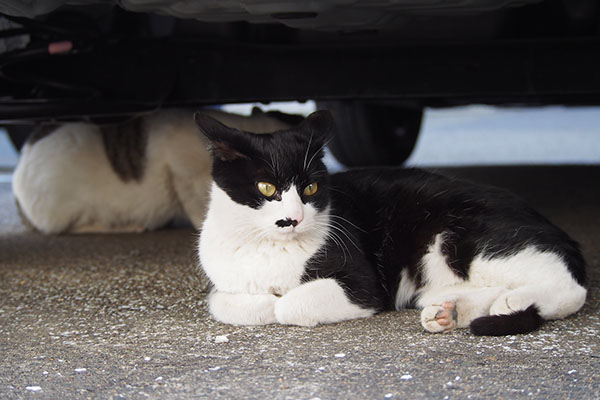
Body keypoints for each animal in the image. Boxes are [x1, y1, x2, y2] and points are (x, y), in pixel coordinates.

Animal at [196, 108, 584, 334]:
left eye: (310, 188)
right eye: (267, 187)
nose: (293, 219)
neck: (268, 249)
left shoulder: (364, 285)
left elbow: (287, 304)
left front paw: (276, 300)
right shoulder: (224, 282)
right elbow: (221, 302)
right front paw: (260, 300)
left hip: (464, 241)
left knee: (568, 286)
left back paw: (510, 304)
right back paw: (450, 312)